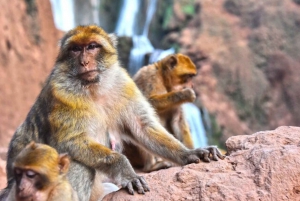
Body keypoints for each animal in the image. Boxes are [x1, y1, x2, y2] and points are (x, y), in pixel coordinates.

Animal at [0, 25, 225, 201]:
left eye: (92, 46)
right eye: (75, 49)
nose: (84, 62)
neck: (93, 87)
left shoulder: (124, 84)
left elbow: (143, 127)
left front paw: (190, 153)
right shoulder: (61, 93)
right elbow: (70, 141)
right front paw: (125, 170)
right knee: (79, 162)